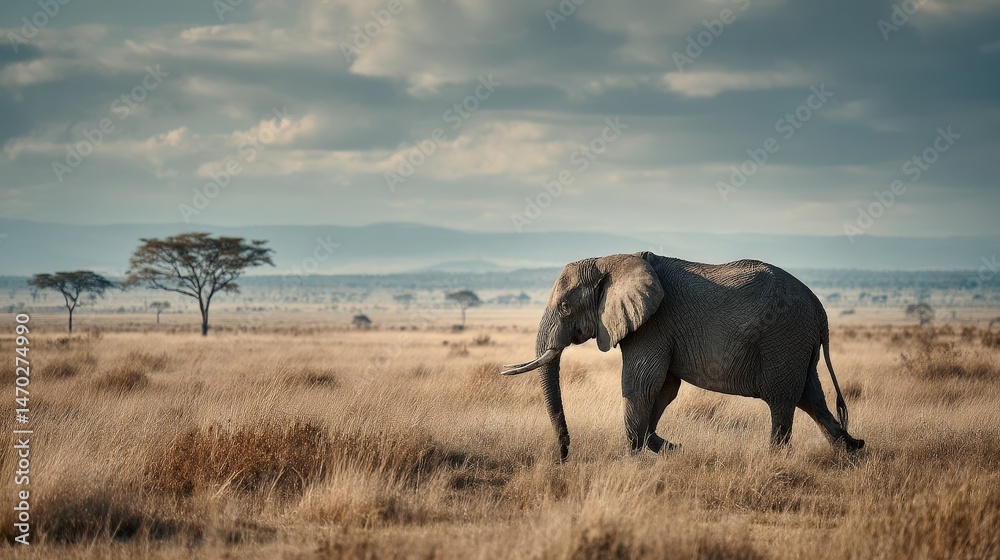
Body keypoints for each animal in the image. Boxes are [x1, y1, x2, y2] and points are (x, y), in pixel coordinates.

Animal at [501, 252, 865, 461]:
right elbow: (664, 388)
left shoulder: (653, 323)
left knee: (782, 398)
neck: (611, 260)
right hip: (798, 344)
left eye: (565, 307)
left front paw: (632, 460)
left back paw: (775, 459)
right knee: (810, 396)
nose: (563, 454)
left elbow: (641, 383)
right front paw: (668, 448)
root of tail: (821, 311)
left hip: (785, 338)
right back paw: (853, 449)